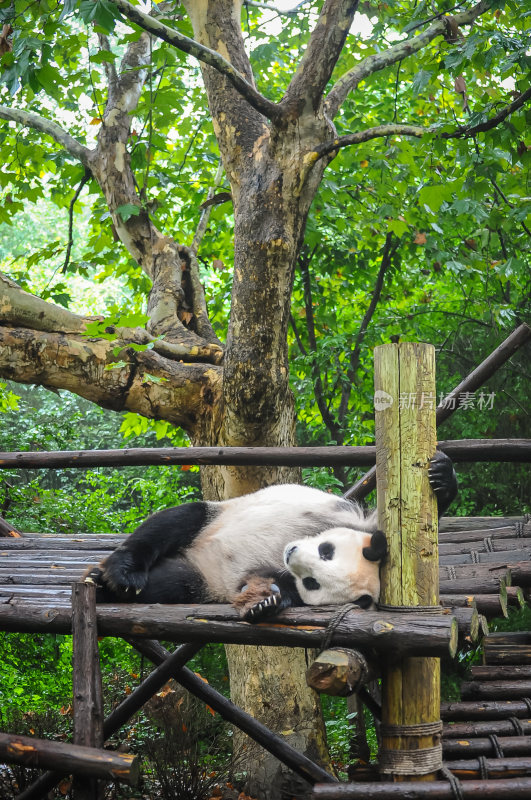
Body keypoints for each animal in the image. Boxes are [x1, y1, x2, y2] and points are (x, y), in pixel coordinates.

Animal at [87, 450, 458, 620]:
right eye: (326, 550)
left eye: (313, 583)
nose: (291, 553)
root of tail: (197, 559)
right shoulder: (353, 520)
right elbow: (401, 517)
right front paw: (441, 476)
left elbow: (261, 582)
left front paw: (266, 601)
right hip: (214, 517)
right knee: (176, 521)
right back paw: (120, 575)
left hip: (202, 579)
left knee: (171, 583)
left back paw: (109, 587)